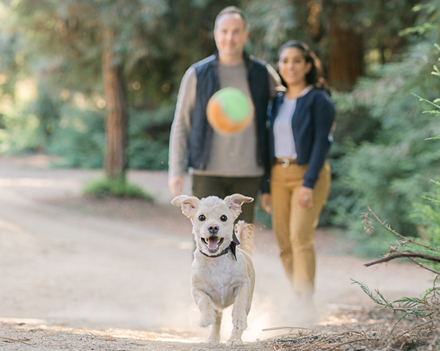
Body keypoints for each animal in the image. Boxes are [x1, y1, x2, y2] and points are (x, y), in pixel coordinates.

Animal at [171, 194, 254, 348]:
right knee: (217, 320)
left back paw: (234, 339)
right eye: (201, 217)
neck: (216, 259)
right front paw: (206, 319)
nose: (213, 227)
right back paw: (213, 338)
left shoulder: (243, 284)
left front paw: (239, 319)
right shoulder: (196, 289)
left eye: (223, 218)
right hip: (216, 306)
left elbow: (240, 303)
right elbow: (203, 301)